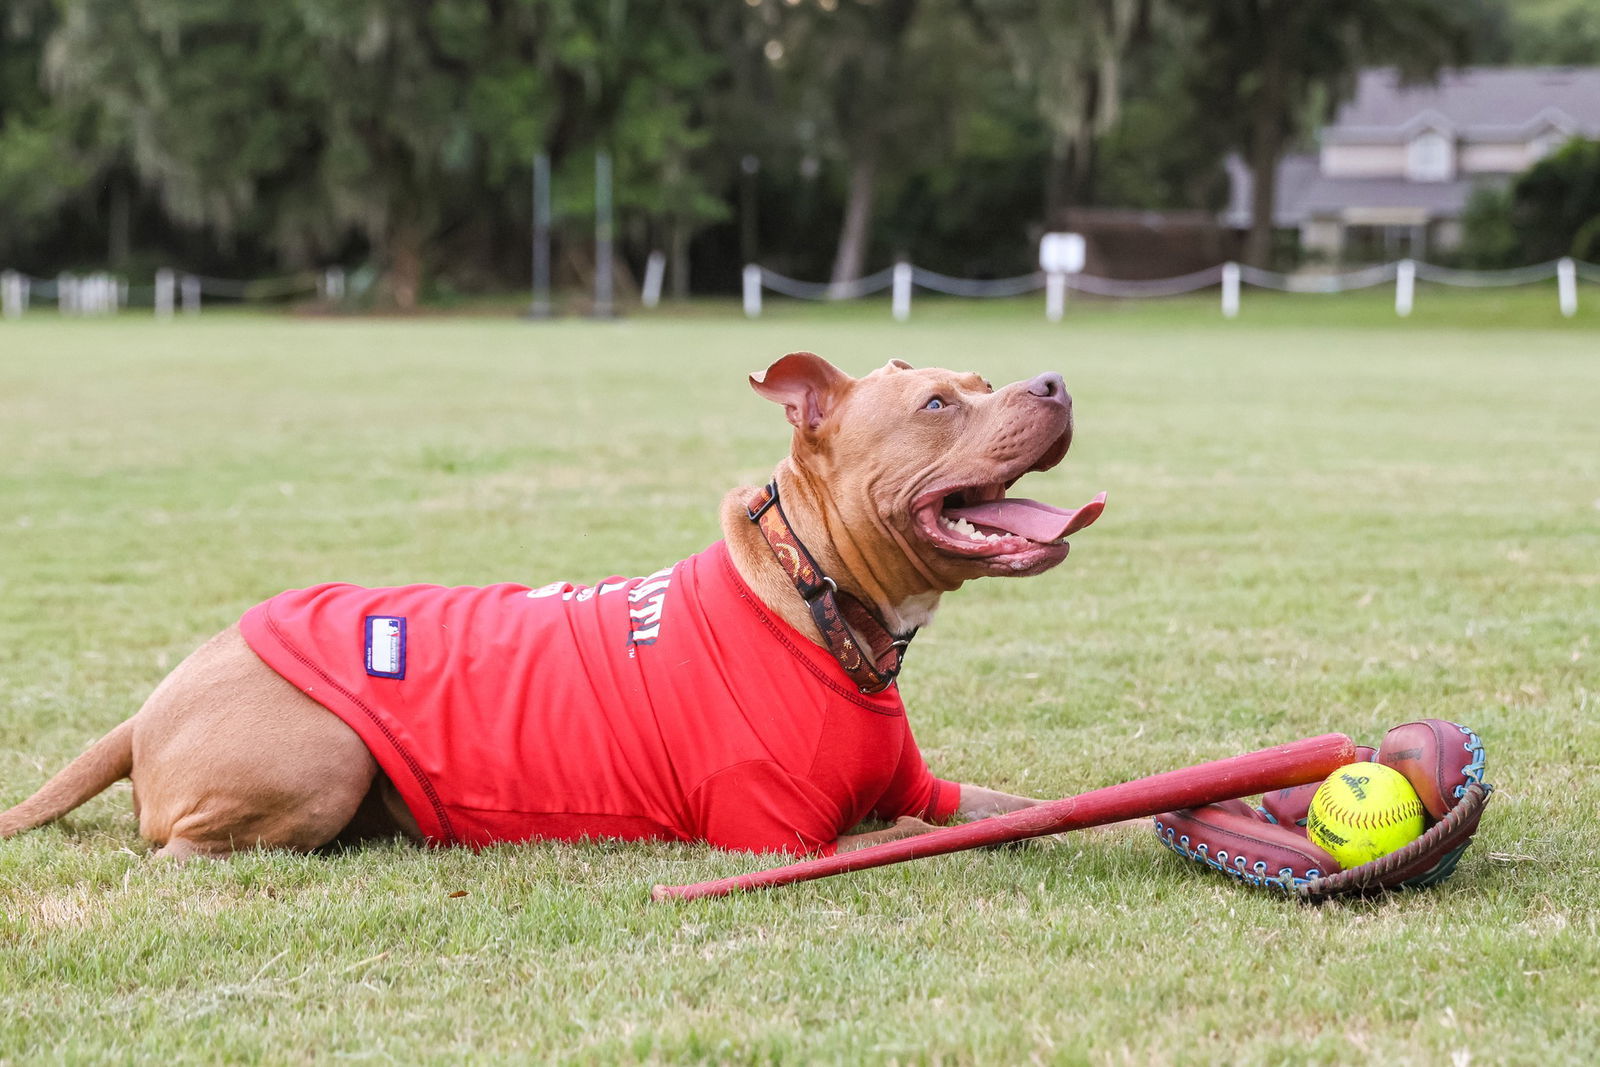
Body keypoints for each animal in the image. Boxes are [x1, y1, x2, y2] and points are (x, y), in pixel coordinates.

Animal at [0, 355, 1100, 863]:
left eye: (979, 379)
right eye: (937, 406)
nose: (1054, 379)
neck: (811, 593)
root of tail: (150, 703)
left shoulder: (929, 788)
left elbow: (1025, 807)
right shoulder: (781, 837)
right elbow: (936, 832)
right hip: (322, 756)